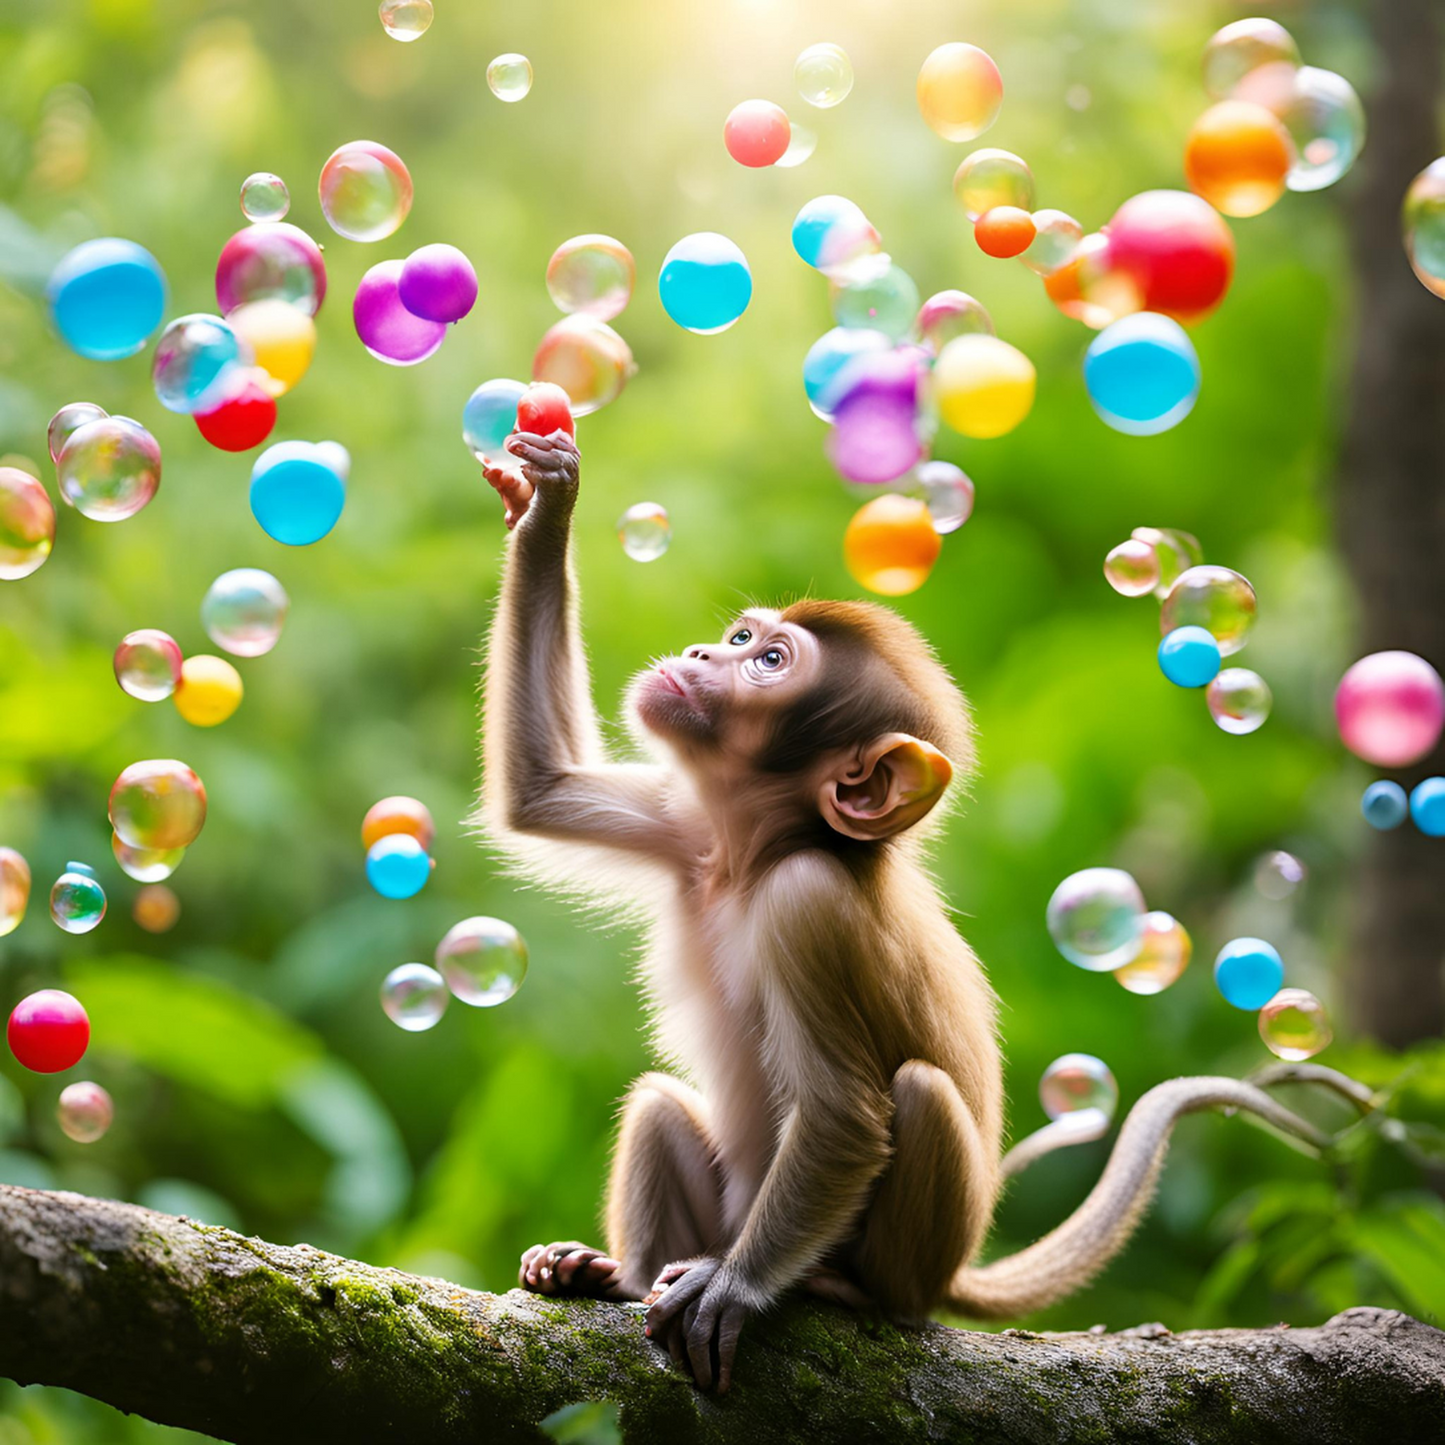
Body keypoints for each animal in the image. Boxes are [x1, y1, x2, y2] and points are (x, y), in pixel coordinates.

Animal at [476, 430, 1337, 1394]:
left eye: (767, 661)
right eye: (739, 636)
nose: (699, 657)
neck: (750, 858)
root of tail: (953, 1268)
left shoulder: (806, 904)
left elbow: (846, 1116)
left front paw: (733, 1288)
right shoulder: (688, 822)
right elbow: (543, 789)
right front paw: (545, 501)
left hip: (917, 1252)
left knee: (914, 1097)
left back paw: (835, 1288)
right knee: (661, 1102)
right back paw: (610, 1275)